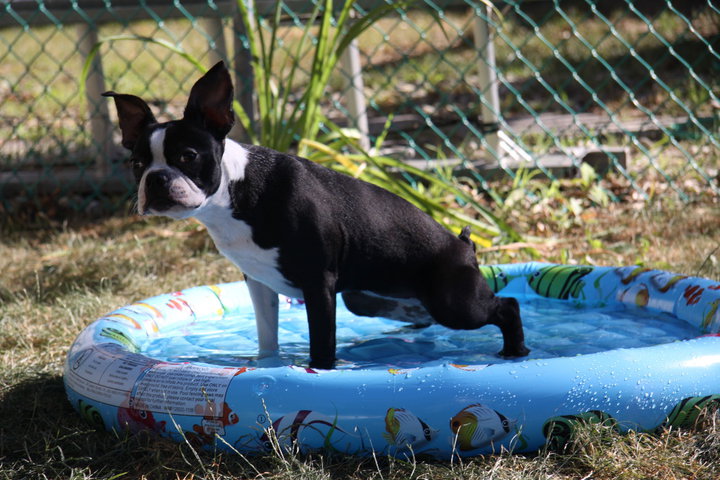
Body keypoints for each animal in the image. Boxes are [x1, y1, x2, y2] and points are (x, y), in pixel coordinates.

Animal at [102, 62, 528, 370]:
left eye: (188, 157)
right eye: (137, 164)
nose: (156, 178)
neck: (235, 193)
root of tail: (463, 245)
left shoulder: (317, 282)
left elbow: (322, 340)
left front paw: (319, 372)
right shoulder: (259, 281)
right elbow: (267, 335)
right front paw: (266, 365)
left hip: (454, 302)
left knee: (506, 306)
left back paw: (515, 351)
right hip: (366, 297)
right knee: (421, 313)